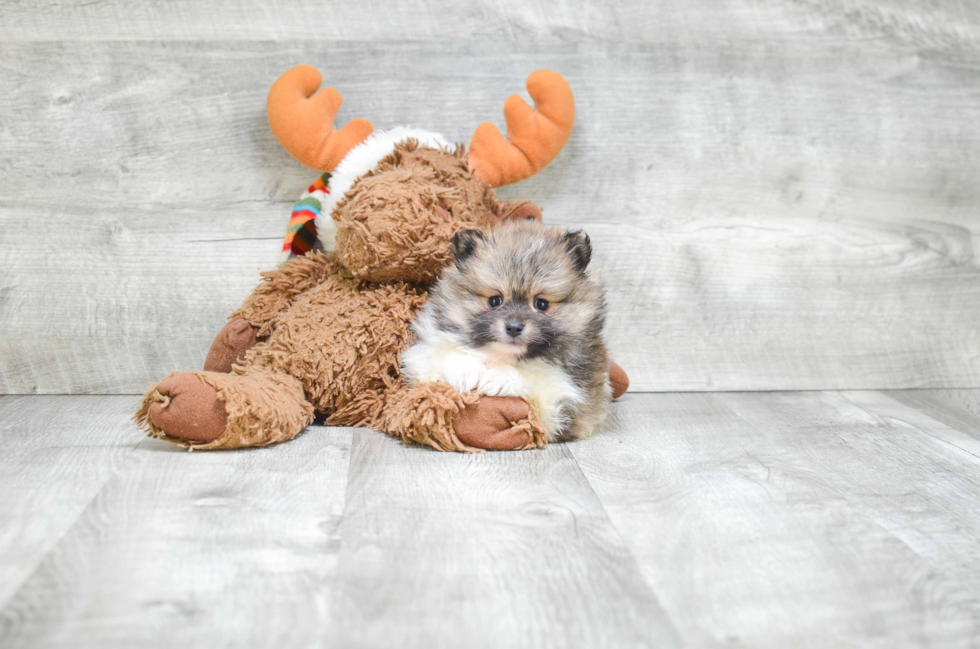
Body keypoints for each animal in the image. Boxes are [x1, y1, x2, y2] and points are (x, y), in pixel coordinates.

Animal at [402, 219, 608, 440]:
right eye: (495, 300)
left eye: (541, 304)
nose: (514, 327)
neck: (503, 356)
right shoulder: (421, 353)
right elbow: (443, 355)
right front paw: (466, 372)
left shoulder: (565, 401)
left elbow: (538, 378)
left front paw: (501, 377)